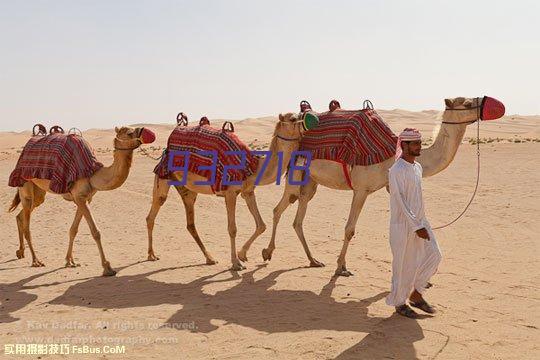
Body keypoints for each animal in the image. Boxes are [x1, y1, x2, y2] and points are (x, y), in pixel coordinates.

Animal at [8, 126, 156, 276]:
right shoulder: (79, 197)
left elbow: (73, 229)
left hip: (38, 193)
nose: (146, 131)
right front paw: (107, 267)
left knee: (21, 215)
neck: (93, 174)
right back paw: (36, 261)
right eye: (129, 133)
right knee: (27, 224)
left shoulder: (85, 198)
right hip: (24, 184)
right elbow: (95, 232)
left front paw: (70, 261)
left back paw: (20, 252)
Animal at [146, 112, 314, 270]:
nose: (310, 121)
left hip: (187, 189)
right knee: (153, 212)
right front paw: (236, 263)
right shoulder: (230, 193)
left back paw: (210, 258)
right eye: (293, 118)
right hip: (163, 175)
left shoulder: (248, 191)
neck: (252, 166)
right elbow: (232, 229)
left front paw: (243, 255)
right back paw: (151, 255)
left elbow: (261, 225)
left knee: (190, 223)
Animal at [245, 95, 506, 276]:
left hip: (311, 181)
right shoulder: (361, 189)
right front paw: (341, 267)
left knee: (298, 218)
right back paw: (266, 252)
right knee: (280, 208)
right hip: (296, 172)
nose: (490, 103)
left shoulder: (390, 187)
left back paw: (313, 260)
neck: (392, 153)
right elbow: (349, 229)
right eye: (466, 102)